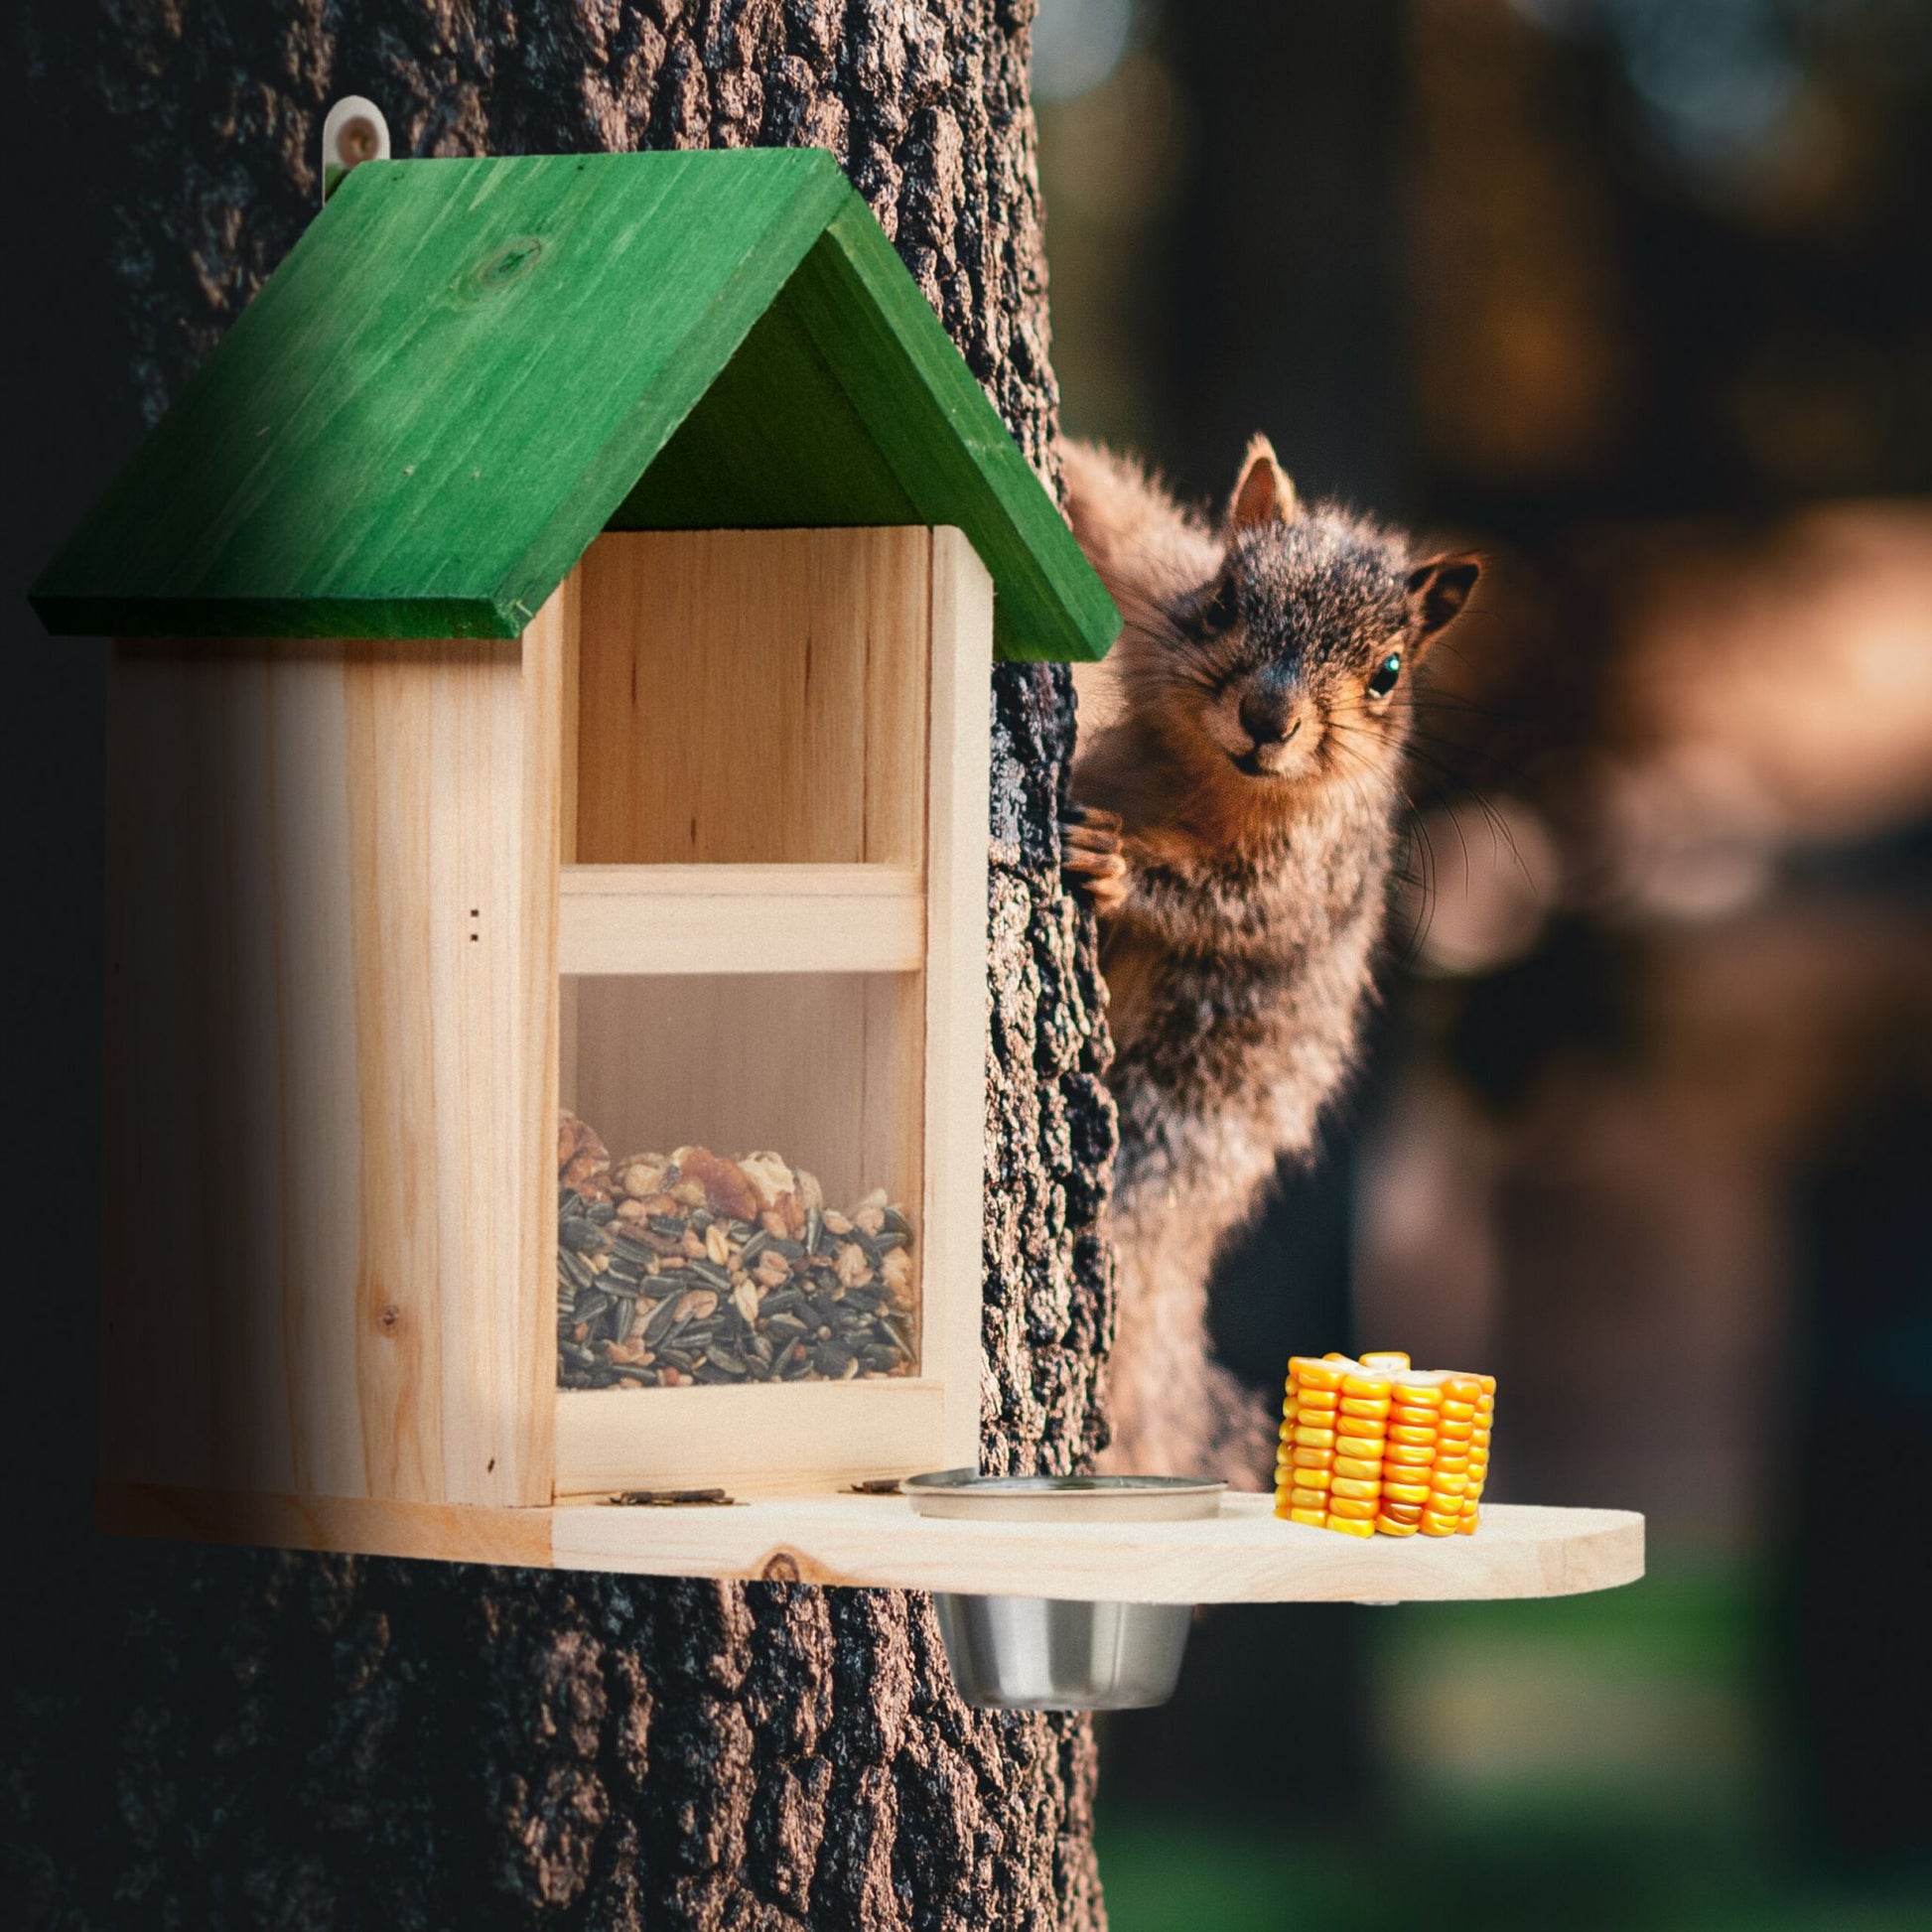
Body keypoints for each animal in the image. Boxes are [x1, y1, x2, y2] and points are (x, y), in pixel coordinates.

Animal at [1059, 435, 1480, 1487]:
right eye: (1222, 601)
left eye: (1388, 671)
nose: (1268, 716)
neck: (1200, 774)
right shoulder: (1151, 577)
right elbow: (1121, 518)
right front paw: (1064, 465)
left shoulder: (1308, 869)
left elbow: (1233, 906)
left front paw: (1118, 862)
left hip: (1177, 1112)